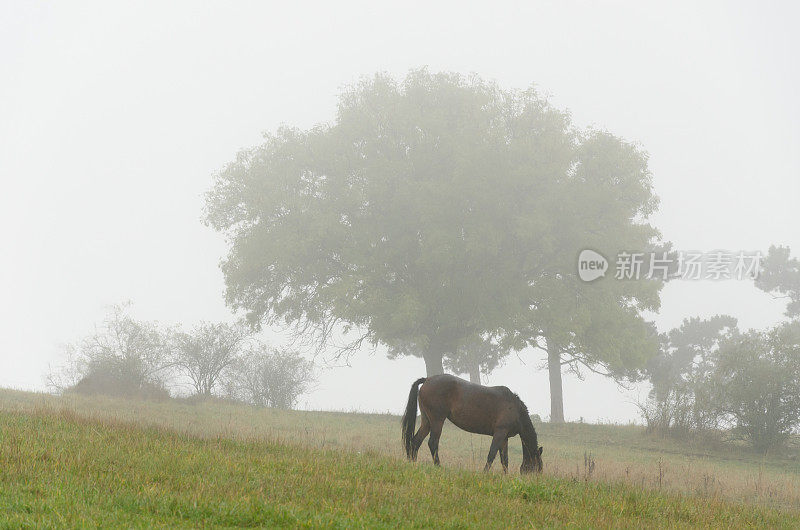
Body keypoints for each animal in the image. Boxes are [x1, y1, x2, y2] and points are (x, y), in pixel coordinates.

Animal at [400, 374, 544, 472]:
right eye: (537, 467)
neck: (515, 408)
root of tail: (427, 379)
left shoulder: (504, 438)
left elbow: (505, 460)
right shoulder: (499, 433)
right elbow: (491, 454)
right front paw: (485, 473)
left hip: (427, 422)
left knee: (415, 442)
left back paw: (412, 463)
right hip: (437, 421)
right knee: (432, 443)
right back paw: (438, 466)